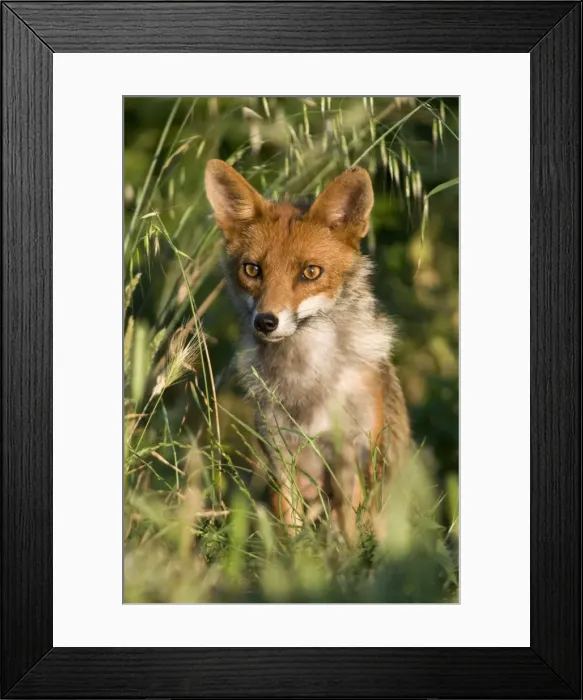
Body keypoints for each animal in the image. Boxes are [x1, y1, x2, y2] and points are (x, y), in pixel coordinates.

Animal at [204, 159, 411, 541]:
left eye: (310, 272)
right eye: (252, 269)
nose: (265, 322)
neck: (308, 380)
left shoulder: (351, 455)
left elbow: (350, 537)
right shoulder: (281, 456)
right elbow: (291, 535)